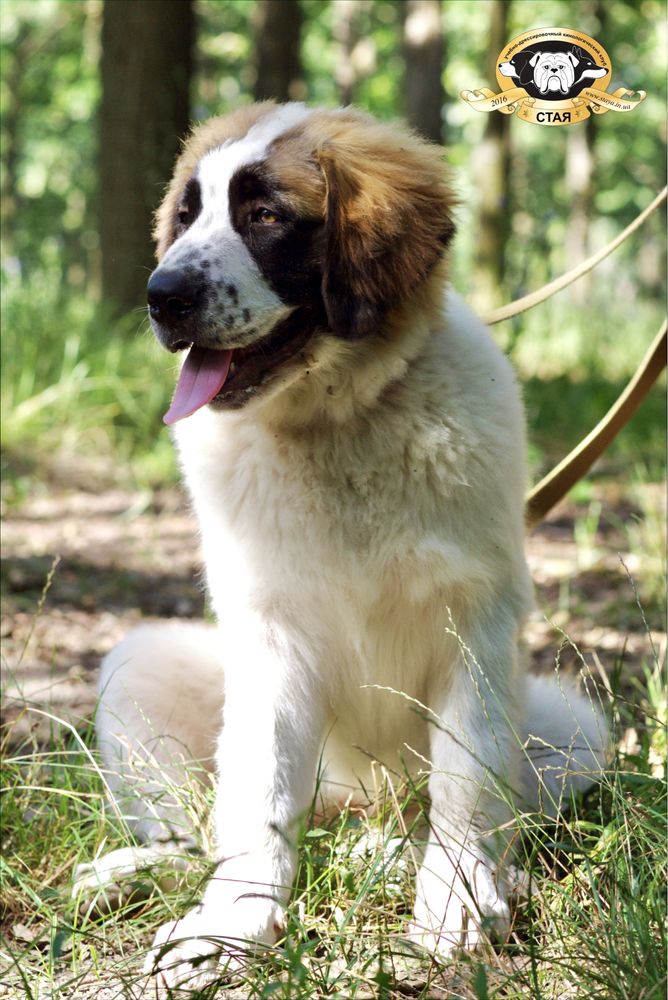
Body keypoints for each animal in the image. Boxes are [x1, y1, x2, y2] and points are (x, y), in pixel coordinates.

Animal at [74, 101, 612, 984]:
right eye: (187, 215)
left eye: (265, 216)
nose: (160, 296)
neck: (338, 424)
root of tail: (352, 807)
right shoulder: (268, 636)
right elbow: (256, 795)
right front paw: (231, 922)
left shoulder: (476, 621)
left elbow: (467, 779)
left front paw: (458, 899)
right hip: (142, 664)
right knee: (199, 825)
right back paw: (137, 872)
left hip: (572, 729)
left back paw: (442, 865)